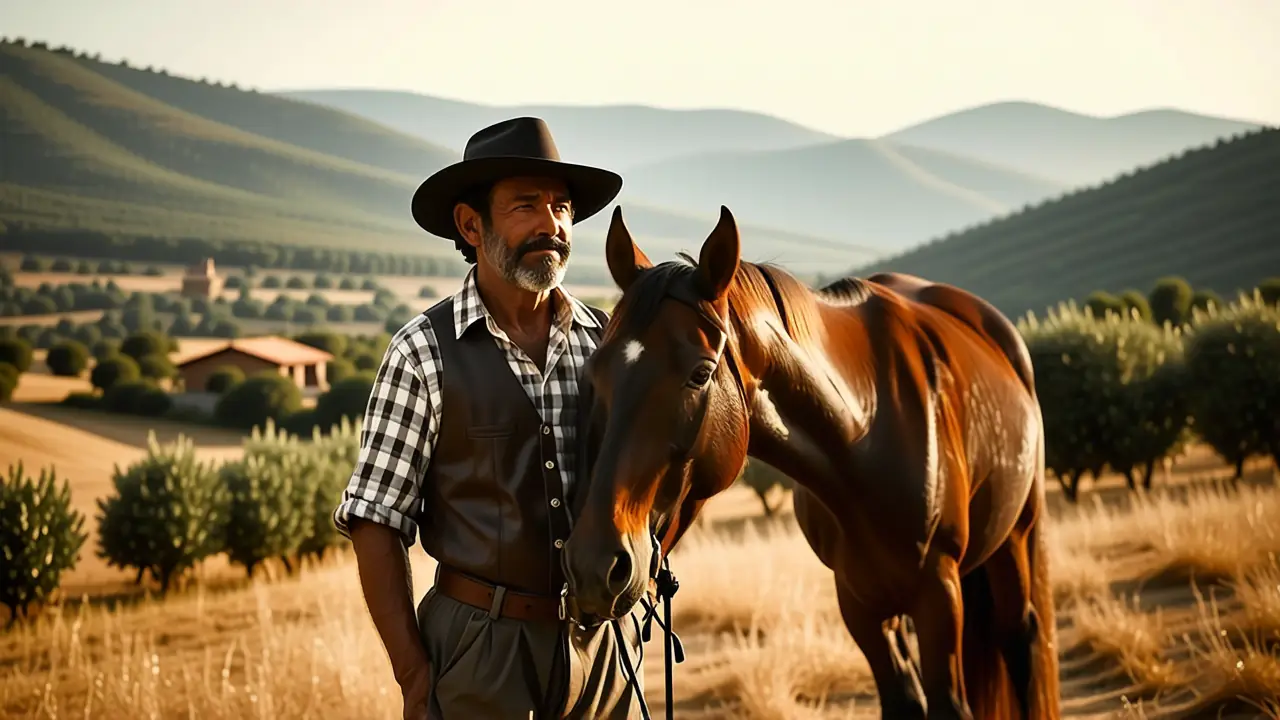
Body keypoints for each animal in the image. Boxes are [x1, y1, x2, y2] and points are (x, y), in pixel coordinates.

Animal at [560, 205, 1061, 719]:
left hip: (1016, 539)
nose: (593, 565)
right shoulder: (858, 602)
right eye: (595, 371)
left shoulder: (938, 594)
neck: (864, 438)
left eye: (700, 373)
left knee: (1020, 641)